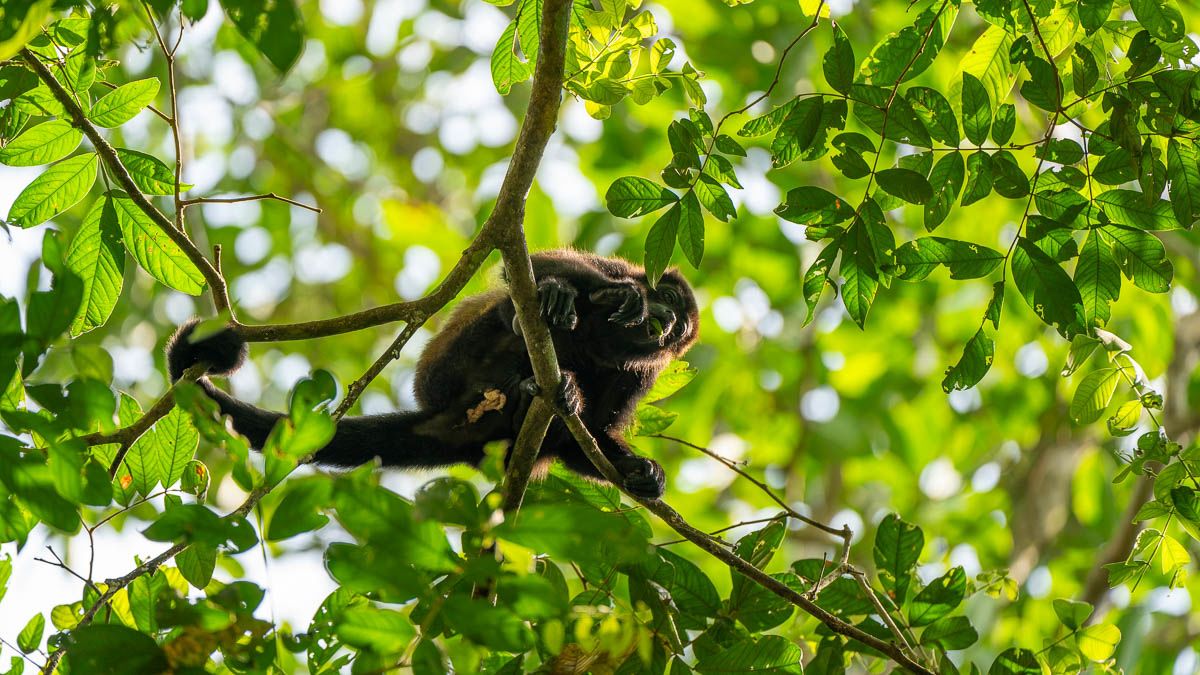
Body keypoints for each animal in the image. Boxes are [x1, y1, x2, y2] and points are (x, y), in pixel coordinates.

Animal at [166, 250, 700, 499]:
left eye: (682, 327)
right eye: (669, 300)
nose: (667, 320)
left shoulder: (643, 375)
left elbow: (586, 436)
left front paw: (642, 472)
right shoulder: (613, 265)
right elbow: (536, 261)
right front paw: (613, 295)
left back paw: (541, 396)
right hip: (443, 372)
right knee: (505, 311)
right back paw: (537, 328)